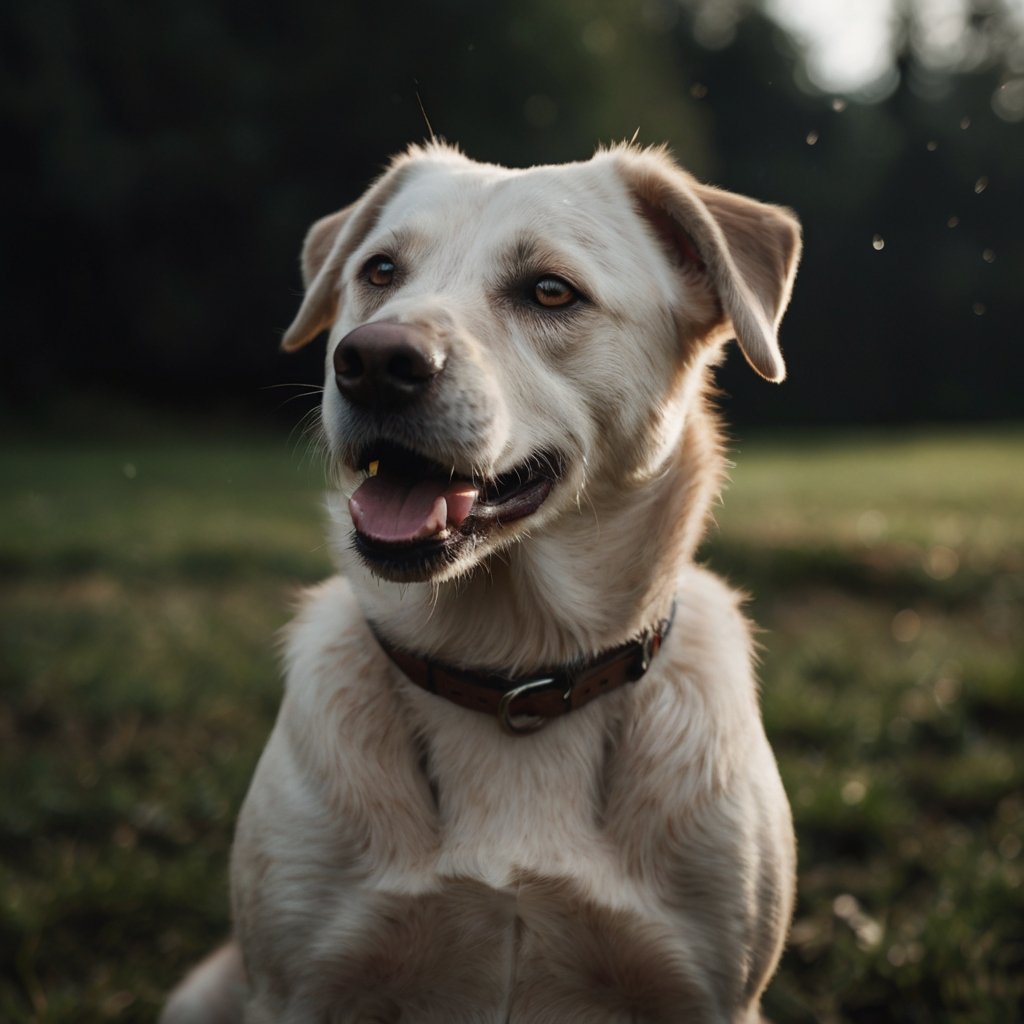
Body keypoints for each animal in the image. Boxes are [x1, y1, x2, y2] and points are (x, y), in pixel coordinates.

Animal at [161, 142, 798, 1024]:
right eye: (380, 270)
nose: (373, 362)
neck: (511, 673)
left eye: (551, 291)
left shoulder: (709, 993)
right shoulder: (297, 989)